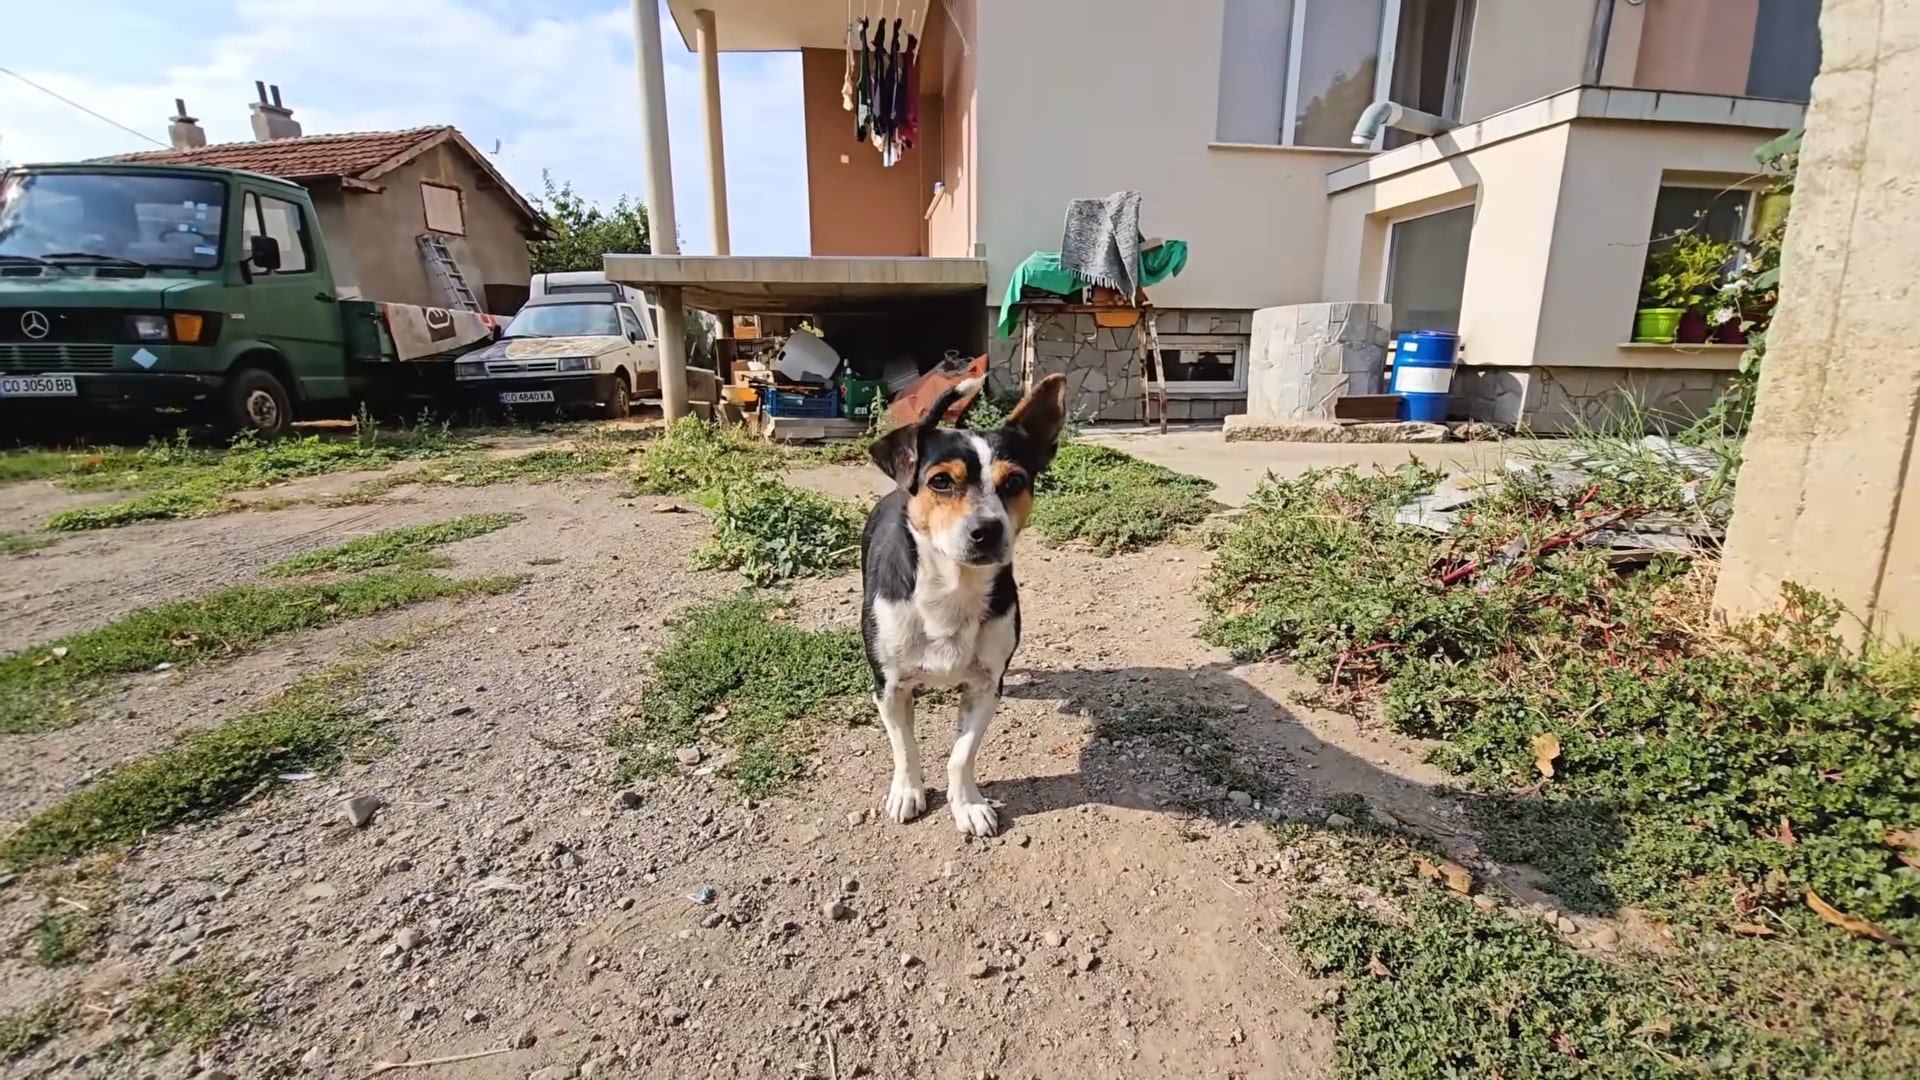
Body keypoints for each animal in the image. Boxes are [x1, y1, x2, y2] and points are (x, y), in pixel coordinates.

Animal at [864, 368, 1075, 834]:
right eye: (940, 481)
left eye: (1014, 482)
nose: (987, 530)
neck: (952, 589)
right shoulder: (888, 687)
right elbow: (904, 746)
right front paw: (908, 791)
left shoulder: (985, 686)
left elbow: (962, 755)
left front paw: (968, 805)